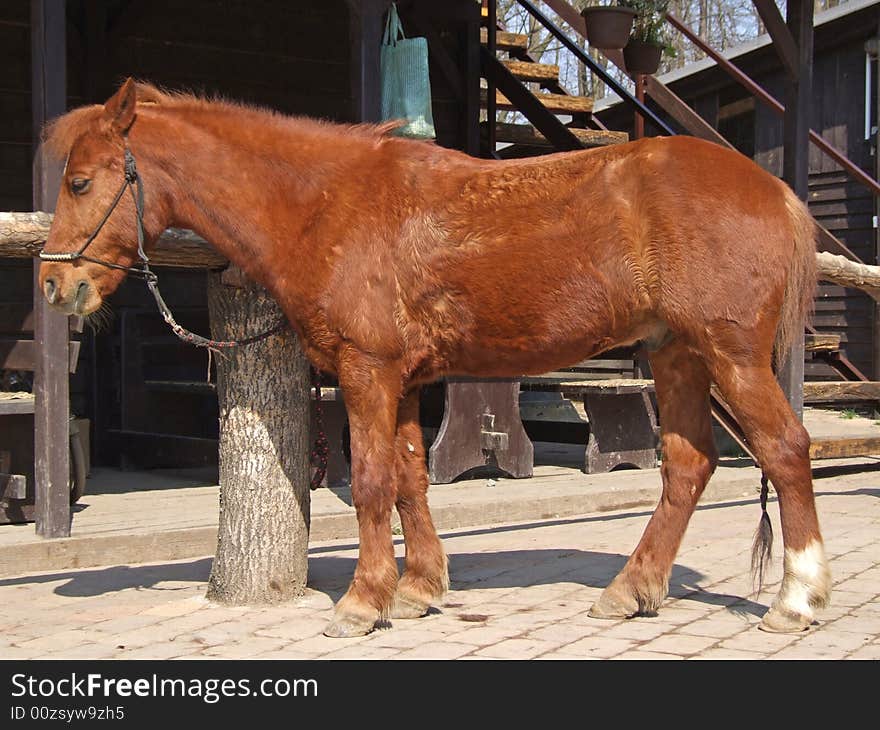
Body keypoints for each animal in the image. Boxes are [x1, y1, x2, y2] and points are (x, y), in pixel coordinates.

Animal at [37, 79, 828, 636]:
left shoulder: (368, 371)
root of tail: (775, 191)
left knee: (787, 450)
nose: (55, 285)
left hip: (730, 356)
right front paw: (417, 588)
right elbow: (411, 480)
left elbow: (371, 483)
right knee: (689, 468)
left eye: (81, 182)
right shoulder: (407, 380)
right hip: (677, 355)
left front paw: (363, 601)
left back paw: (797, 598)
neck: (326, 205)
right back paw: (632, 590)